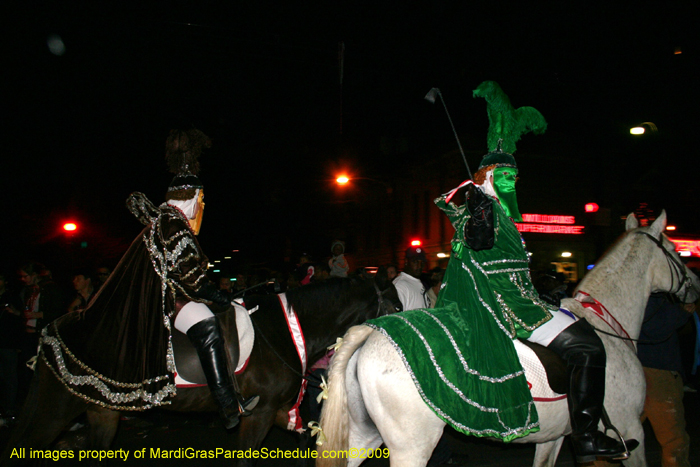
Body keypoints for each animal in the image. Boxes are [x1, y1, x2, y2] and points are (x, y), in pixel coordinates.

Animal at [1, 274, 400, 464]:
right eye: (396, 306)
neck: (284, 331)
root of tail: (53, 328)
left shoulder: (278, 411)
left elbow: (308, 437)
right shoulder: (258, 415)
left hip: (103, 410)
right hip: (56, 408)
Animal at [318, 213, 700, 467]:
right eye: (674, 249)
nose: (695, 285)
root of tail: (372, 331)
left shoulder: (553, 438)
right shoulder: (630, 428)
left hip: (363, 436)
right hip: (412, 446)